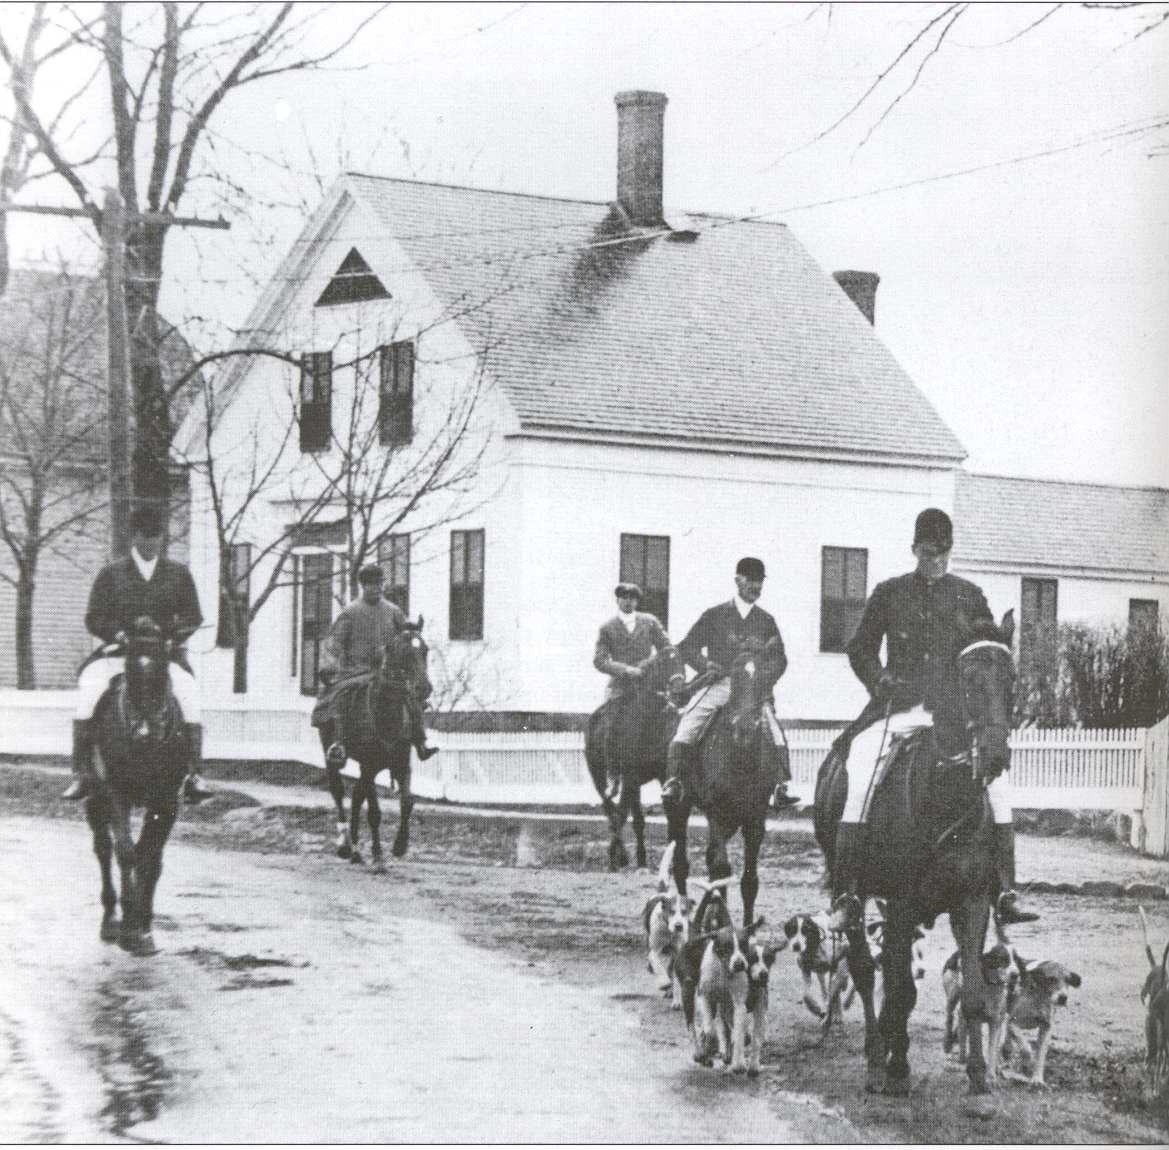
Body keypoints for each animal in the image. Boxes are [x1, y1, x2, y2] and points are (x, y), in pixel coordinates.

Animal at [85, 617, 192, 958]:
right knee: (104, 849)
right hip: (95, 799)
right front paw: (129, 928)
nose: (143, 733)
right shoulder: (116, 794)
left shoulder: (167, 801)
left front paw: (143, 927)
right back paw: (110, 920)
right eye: (130, 671)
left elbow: (151, 858)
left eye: (163, 672)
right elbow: (127, 853)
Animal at [317, 621, 432, 869]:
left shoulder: (402, 763)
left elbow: (407, 802)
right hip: (333, 756)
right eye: (402, 651)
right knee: (339, 792)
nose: (424, 688)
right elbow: (375, 812)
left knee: (357, 794)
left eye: (425, 650)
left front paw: (400, 846)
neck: (386, 713)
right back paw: (345, 845)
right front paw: (378, 856)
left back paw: (356, 851)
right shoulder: (368, 765)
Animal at [589, 645, 682, 869]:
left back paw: (639, 859)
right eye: (664, 663)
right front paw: (615, 858)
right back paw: (620, 855)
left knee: (631, 817)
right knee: (610, 808)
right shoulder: (629, 777)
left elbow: (666, 815)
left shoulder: (659, 776)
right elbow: (621, 814)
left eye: (681, 660)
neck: (649, 722)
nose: (679, 689)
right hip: (600, 777)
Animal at [668, 640, 785, 930]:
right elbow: (721, 869)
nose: (744, 727)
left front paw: (747, 929)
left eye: (765, 675)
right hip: (678, 808)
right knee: (682, 863)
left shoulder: (755, 819)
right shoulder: (717, 813)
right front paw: (719, 922)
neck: (741, 757)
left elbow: (749, 880)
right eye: (734, 676)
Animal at [813, 612, 1014, 1103]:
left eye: (1011, 678)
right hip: (856, 894)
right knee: (866, 971)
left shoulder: (971, 903)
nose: (995, 755)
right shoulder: (902, 903)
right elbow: (899, 987)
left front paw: (978, 1077)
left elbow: (973, 992)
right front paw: (897, 1066)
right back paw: (875, 1057)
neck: (941, 795)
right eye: (968, 680)